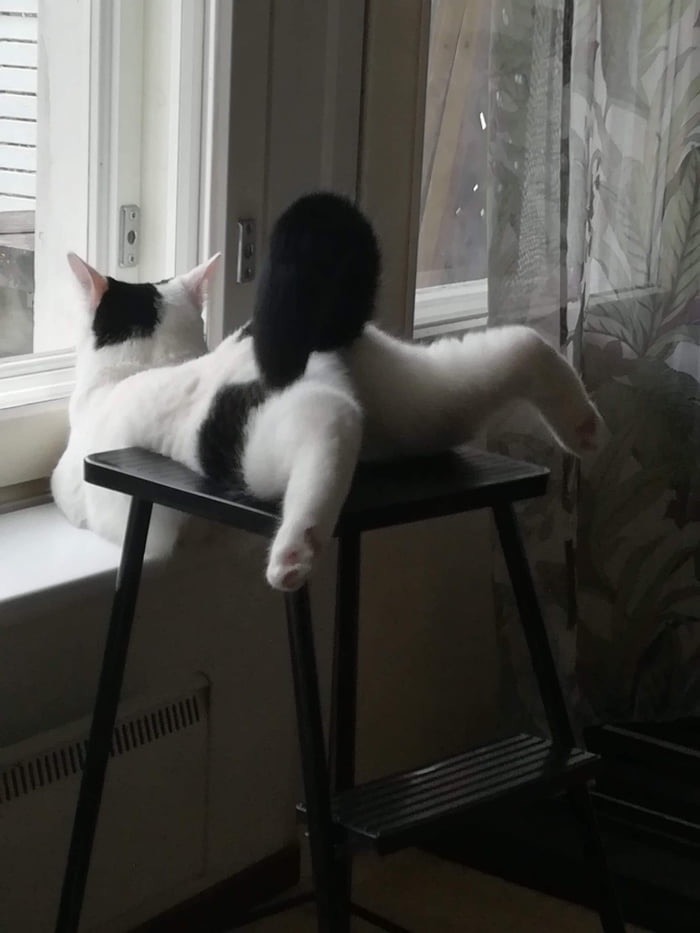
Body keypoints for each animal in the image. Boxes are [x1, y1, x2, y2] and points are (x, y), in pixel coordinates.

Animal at [52, 192, 601, 591]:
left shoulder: (77, 488)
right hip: (429, 398)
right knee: (521, 344)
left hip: (260, 445)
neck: (150, 361)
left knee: (332, 420)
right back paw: (585, 427)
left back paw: (295, 551)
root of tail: (313, 334)